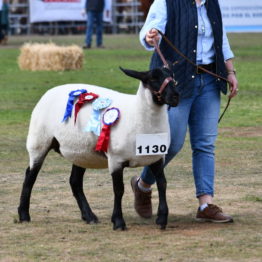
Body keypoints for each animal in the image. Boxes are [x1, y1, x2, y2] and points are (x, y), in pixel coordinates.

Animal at [17, 65, 179, 229]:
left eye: (172, 76)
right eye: (153, 78)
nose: (175, 97)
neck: (138, 116)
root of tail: (49, 92)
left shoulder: (157, 156)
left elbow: (162, 184)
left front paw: (162, 219)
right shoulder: (116, 159)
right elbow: (119, 190)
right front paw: (118, 222)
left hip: (81, 152)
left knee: (75, 182)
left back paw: (89, 216)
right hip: (39, 141)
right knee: (30, 176)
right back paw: (24, 215)